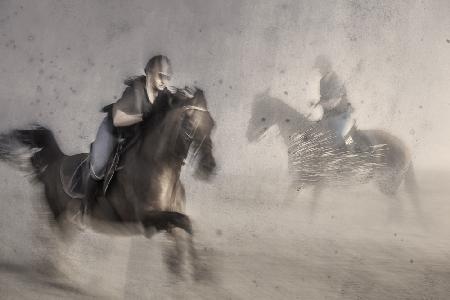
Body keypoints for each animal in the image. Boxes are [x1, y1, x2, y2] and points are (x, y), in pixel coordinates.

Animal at [0, 88, 216, 278]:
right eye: (189, 127)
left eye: (212, 125)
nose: (209, 167)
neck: (159, 168)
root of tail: (56, 160)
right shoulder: (147, 217)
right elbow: (185, 223)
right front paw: (188, 271)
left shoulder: (167, 217)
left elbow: (185, 230)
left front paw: (189, 271)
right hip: (60, 214)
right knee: (56, 239)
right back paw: (57, 270)